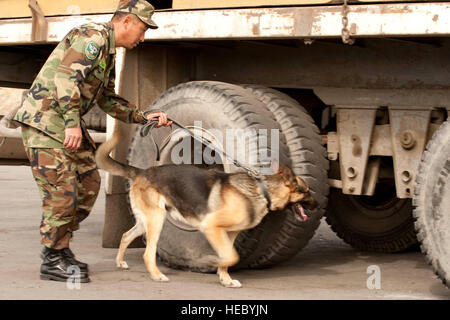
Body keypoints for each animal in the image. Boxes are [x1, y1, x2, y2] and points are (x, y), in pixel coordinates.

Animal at [96, 129, 318, 288]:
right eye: (307, 191)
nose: (318, 205)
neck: (262, 191)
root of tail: (142, 172)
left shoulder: (229, 234)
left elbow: (229, 257)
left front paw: (225, 278)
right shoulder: (210, 227)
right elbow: (231, 257)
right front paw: (214, 263)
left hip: (146, 221)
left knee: (126, 235)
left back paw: (120, 262)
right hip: (156, 220)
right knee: (147, 253)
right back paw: (157, 275)